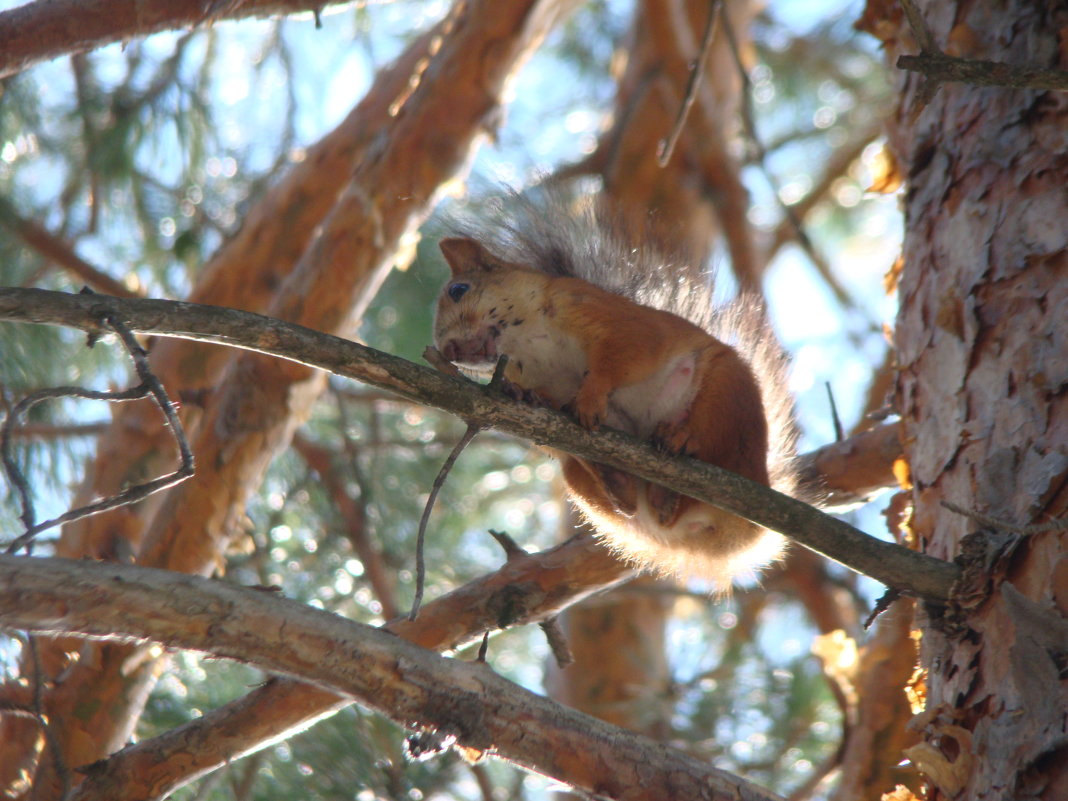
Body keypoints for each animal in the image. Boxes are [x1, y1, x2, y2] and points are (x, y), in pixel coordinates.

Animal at [429, 191, 798, 585]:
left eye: (458, 289)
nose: (448, 351)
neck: (524, 342)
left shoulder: (613, 320)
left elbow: (622, 359)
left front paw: (591, 396)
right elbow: (543, 405)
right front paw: (520, 395)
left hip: (728, 394)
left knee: (715, 442)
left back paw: (680, 440)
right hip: (578, 482)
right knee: (622, 498)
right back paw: (622, 481)